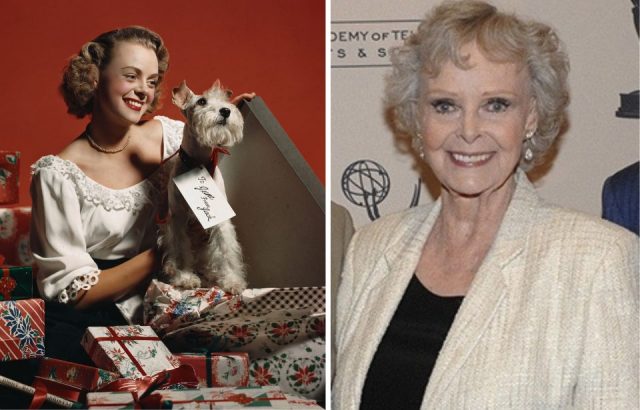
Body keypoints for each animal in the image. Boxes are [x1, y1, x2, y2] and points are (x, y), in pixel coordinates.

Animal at [159, 79, 248, 292]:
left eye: (225, 100)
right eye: (201, 101)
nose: (226, 111)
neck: (198, 163)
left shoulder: (221, 219)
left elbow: (226, 251)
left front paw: (232, 280)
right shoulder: (177, 218)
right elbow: (181, 251)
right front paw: (185, 277)